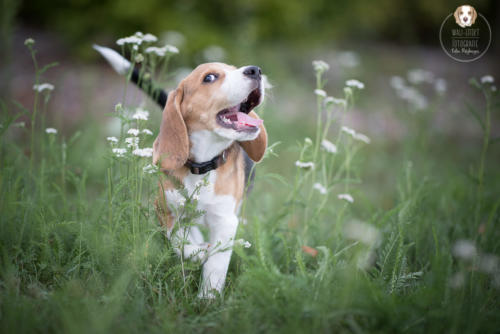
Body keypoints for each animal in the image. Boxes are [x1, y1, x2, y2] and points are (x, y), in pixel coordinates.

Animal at [92, 45, 268, 298]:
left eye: (234, 69)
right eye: (210, 77)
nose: (255, 70)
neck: (201, 167)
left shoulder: (225, 221)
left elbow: (216, 264)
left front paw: (207, 298)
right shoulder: (163, 209)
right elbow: (177, 241)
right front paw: (199, 252)